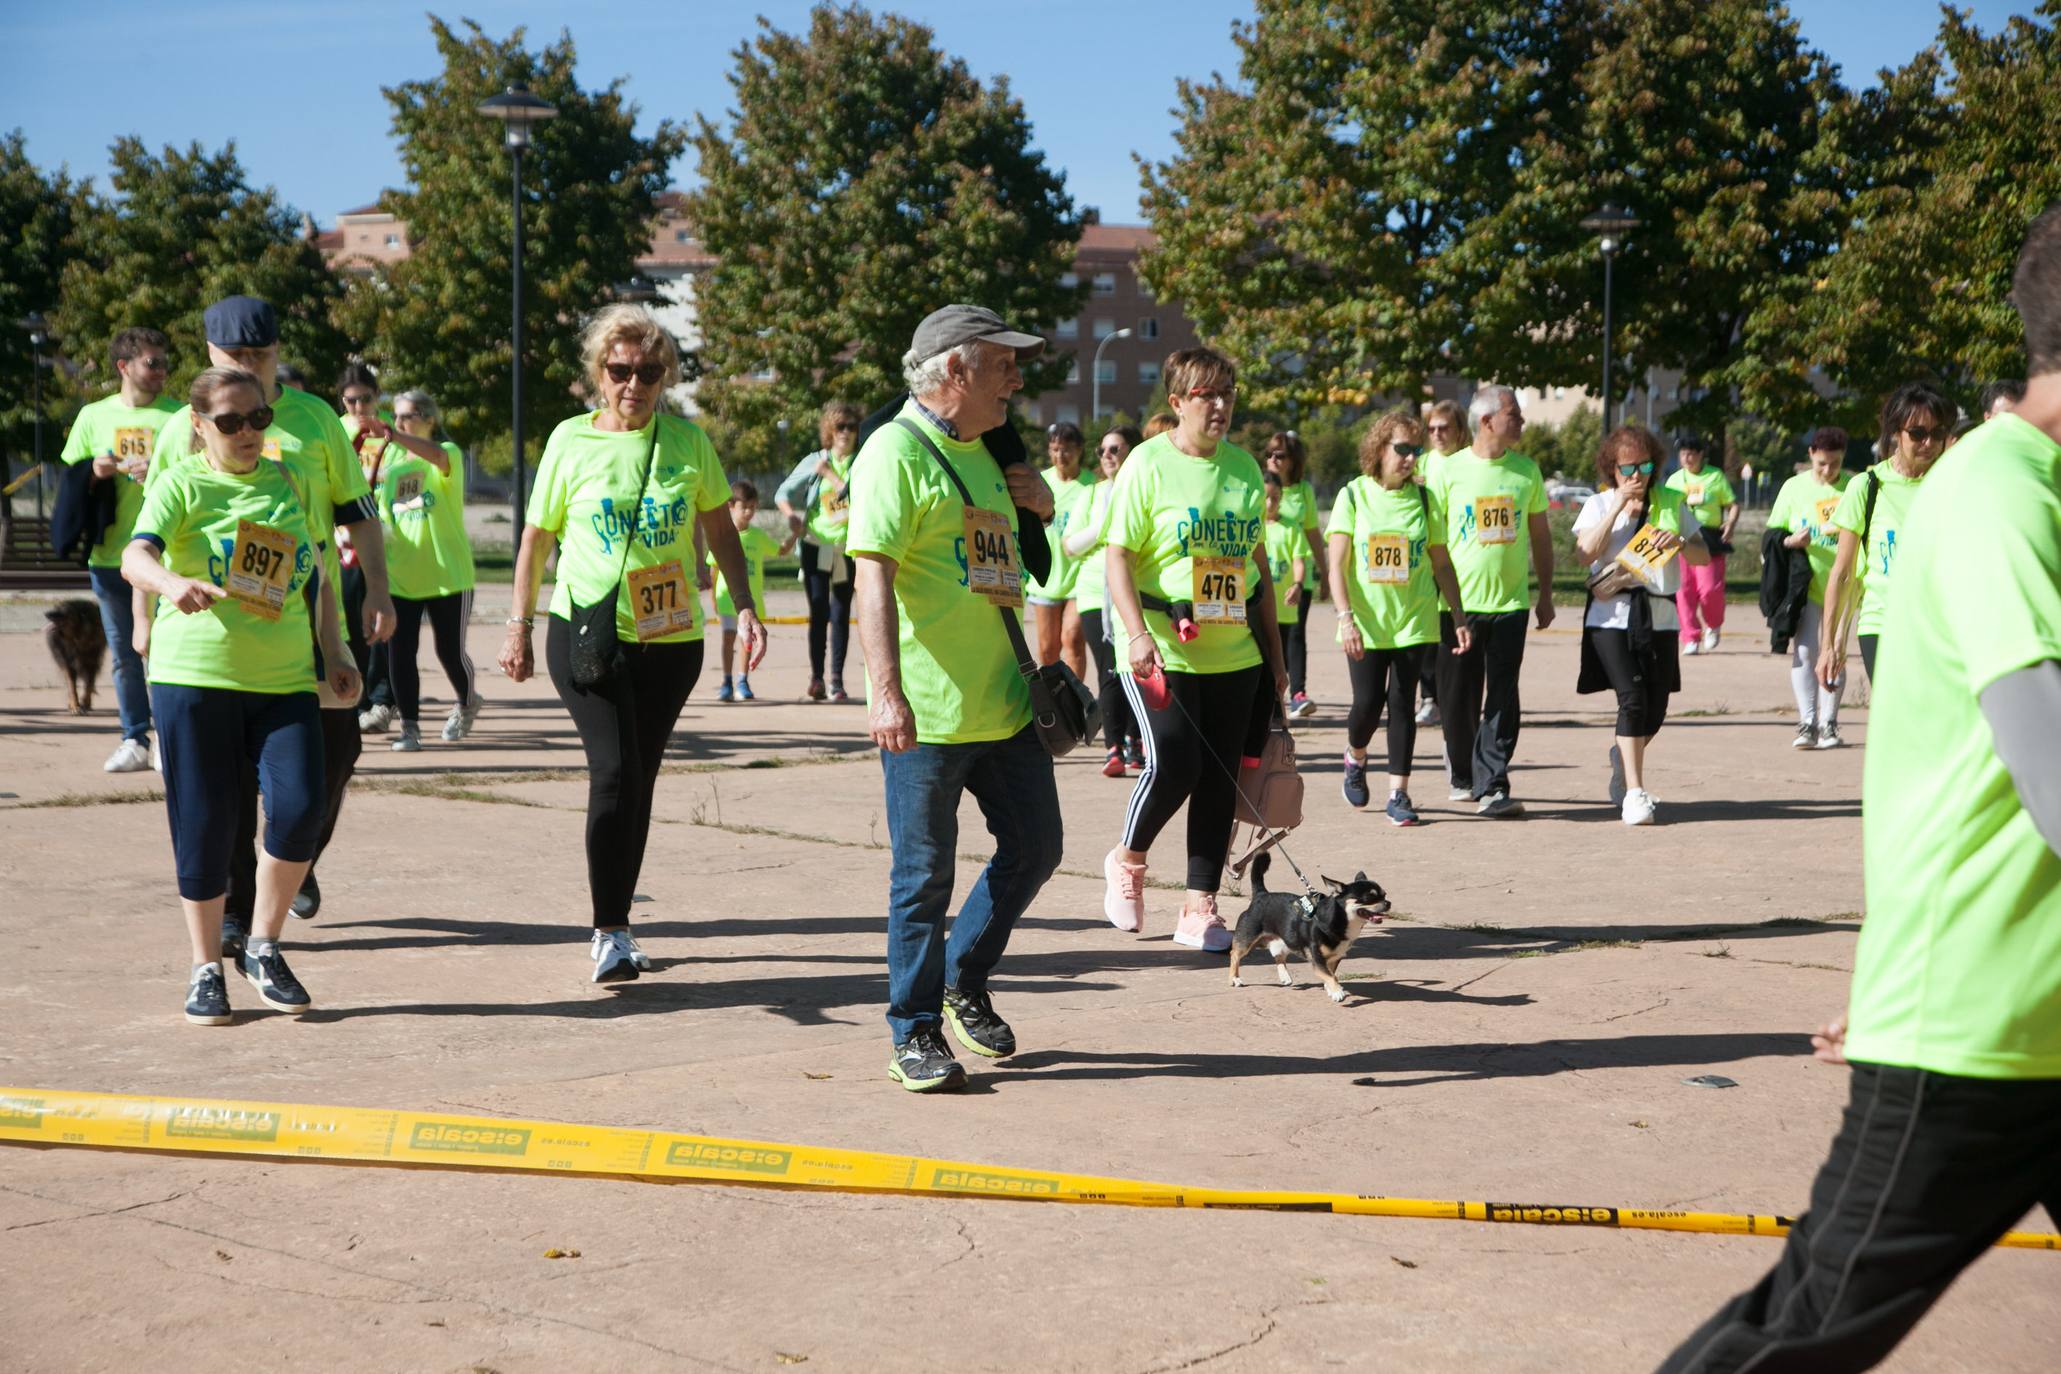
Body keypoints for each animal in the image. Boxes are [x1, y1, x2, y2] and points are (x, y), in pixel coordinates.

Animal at [1228, 852, 1393, 1005]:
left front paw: (1330, 989)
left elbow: (1331, 973)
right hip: (1246, 940)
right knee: (1235, 955)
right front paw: (1336, 991)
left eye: (1384, 894)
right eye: (1369, 898)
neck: (1339, 920)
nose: (1388, 903)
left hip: (1286, 940)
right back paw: (1234, 978)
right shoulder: (1318, 960)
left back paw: (1285, 977)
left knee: (1278, 955)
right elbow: (1329, 975)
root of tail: (1261, 894)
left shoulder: (1334, 958)